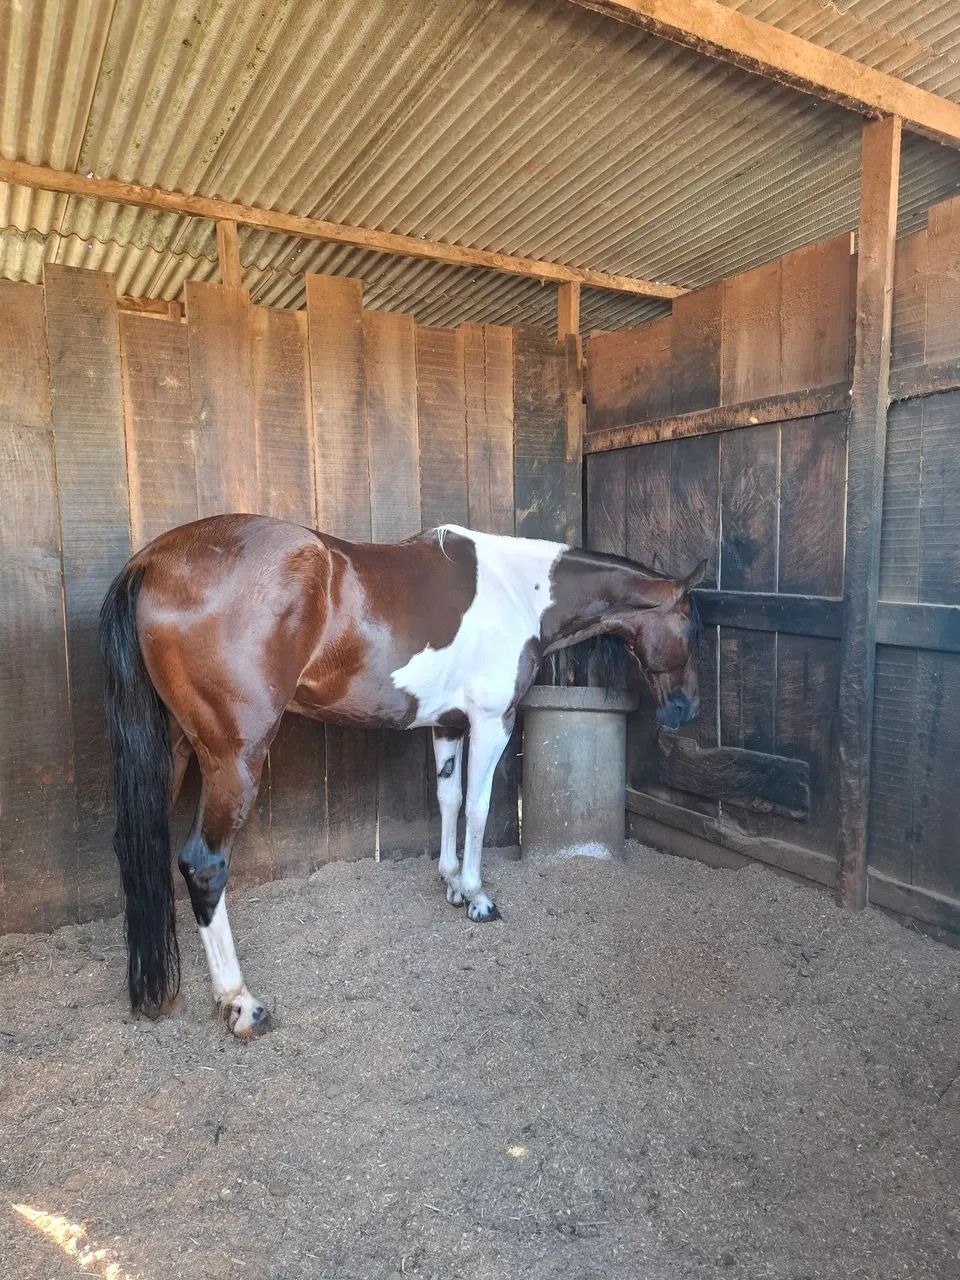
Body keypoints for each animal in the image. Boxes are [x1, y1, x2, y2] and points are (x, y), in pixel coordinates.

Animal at [100, 514, 705, 1038]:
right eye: (690, 623)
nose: (685, 709)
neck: (518, 590)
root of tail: (152, 560)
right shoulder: (492, 723)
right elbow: (479, 808)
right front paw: (478, 896)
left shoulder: (447, 725)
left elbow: (449, 801)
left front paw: (452, 883)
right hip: (233, 759)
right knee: (204, 865)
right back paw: (240, 1002)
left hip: (176, 751)